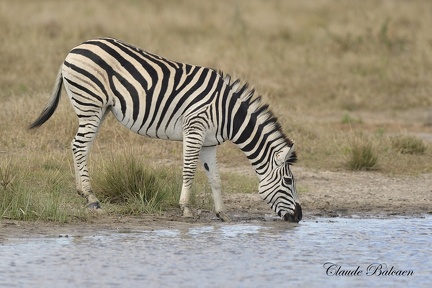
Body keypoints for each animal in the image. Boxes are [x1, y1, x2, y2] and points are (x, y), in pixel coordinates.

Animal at [28, 37, 302, 223]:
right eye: (289, 181)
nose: (299, 217)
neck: (228, 114)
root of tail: (75, 48)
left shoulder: (209, 142)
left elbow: (215, 177)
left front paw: (222, 214)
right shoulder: (195, 129)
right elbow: (189, 171)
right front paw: (186, 209)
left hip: (99, 108)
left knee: (81, 147)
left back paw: (83, 193)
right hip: (90, 103)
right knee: (79, 145)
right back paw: (91, 198)